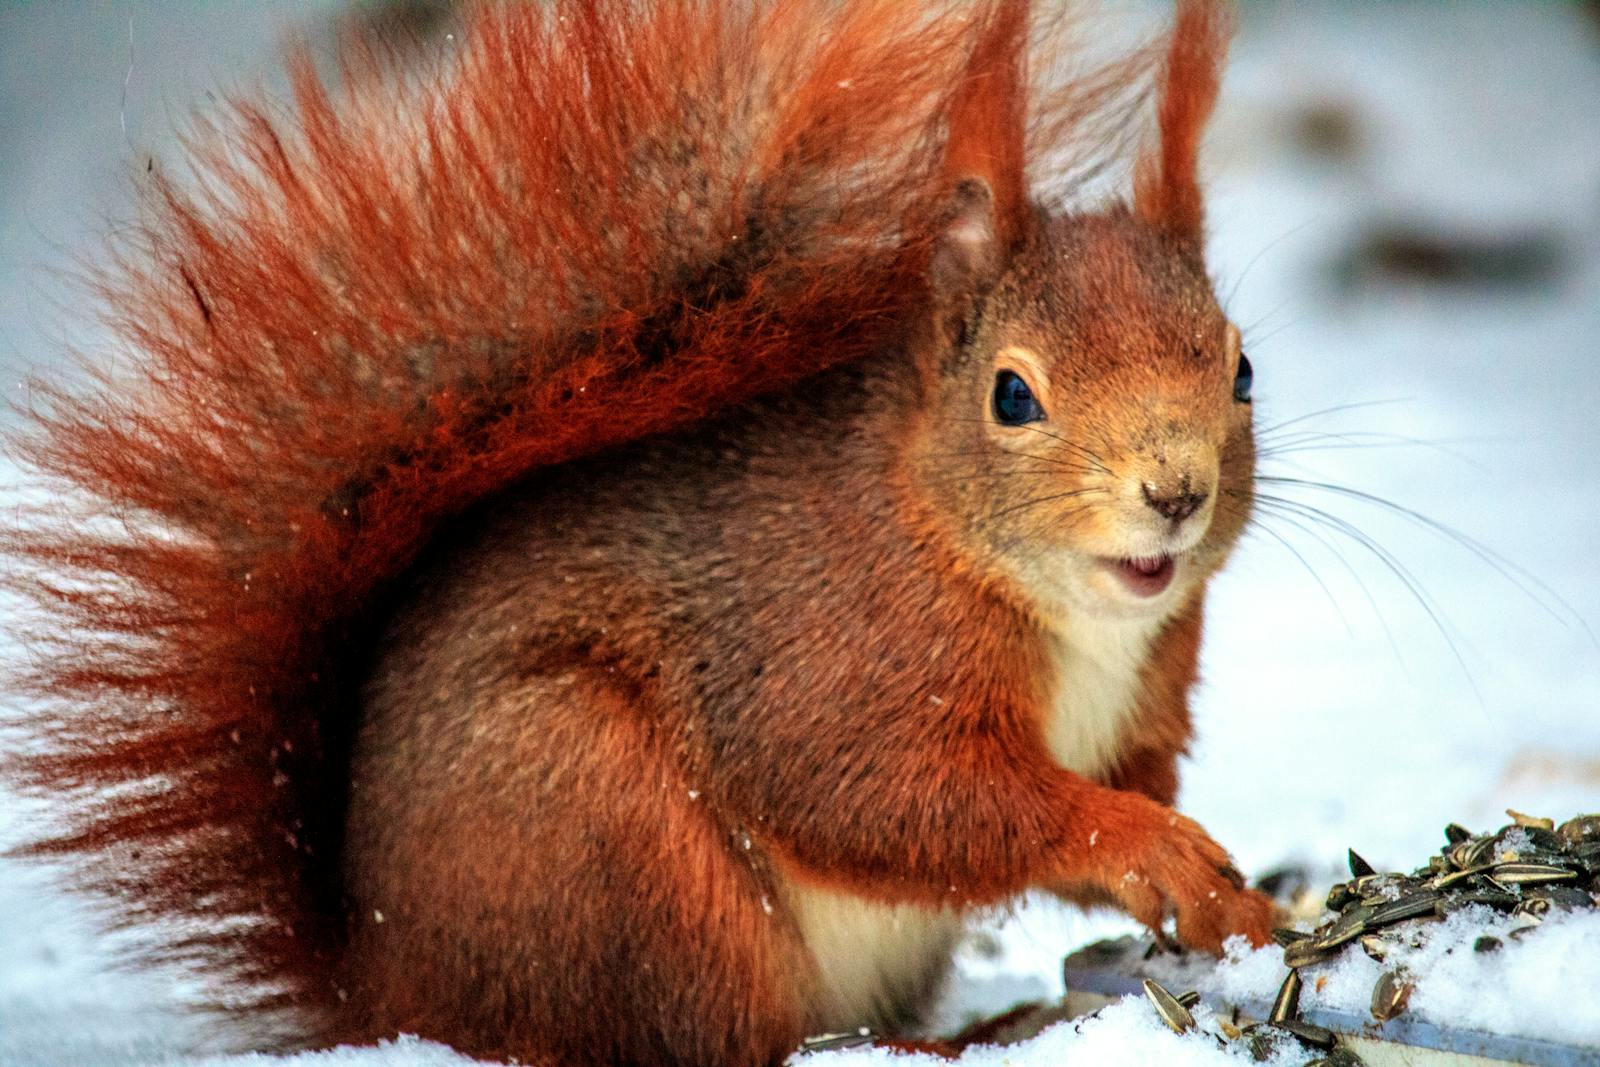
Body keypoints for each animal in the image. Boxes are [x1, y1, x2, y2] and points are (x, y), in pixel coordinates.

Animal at [0, 0, 1273, 1062]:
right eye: (1012, 395)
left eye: (1241, 367)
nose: (1175, 491)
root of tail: (388, 991)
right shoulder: (830, 656)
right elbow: (889, 798)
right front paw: (1145, 844)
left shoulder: (1147, 694)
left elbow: (1125, 783)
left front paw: (1235, 899)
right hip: (611, 840)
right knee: (704, 1037)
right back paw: (929, 1044)